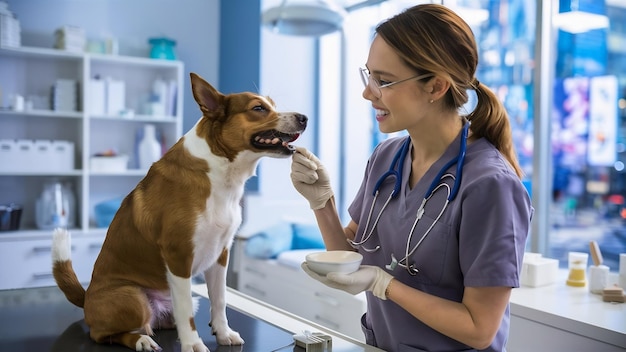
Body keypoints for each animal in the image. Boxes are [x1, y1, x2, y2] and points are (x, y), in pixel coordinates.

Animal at [51, 72, 308, 352]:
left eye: (273, 105)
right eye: (258, 108)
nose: (304, 118)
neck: (220, 172)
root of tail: (86, 298)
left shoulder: (221, 254)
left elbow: (220, 300)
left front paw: (223, 332)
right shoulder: (179, 255)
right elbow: (185, 310)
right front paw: (193, 344)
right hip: (132, 296)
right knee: (105, 334)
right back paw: (141, 340)